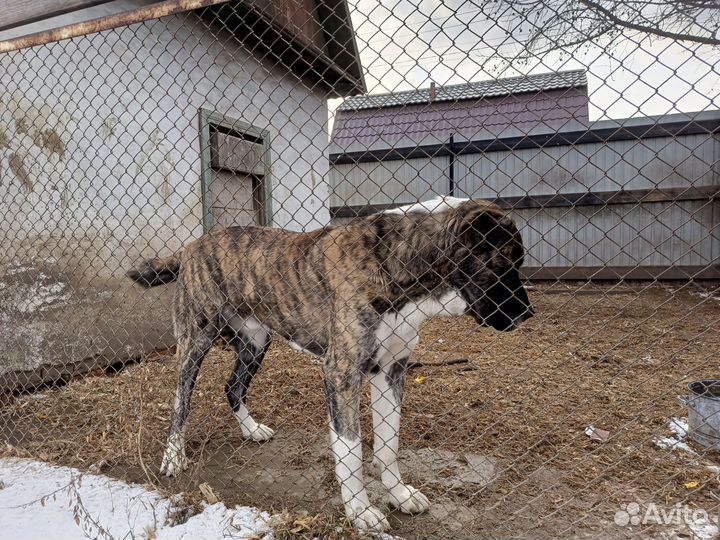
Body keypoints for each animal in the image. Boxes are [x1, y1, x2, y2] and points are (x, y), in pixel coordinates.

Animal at [128, 195, 536, 532]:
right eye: (505, 263)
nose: (527, 315)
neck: (397, 264)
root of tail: (192, 246)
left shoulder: (391, 371)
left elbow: (388, 444)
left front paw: (399, 495)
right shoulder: (342, 374)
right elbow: (351, 450)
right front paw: (360, 511)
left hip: (256, 341)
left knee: (233, 387)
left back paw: (251, 429)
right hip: (194, 343)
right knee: (181, 402)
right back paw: (173, 456)